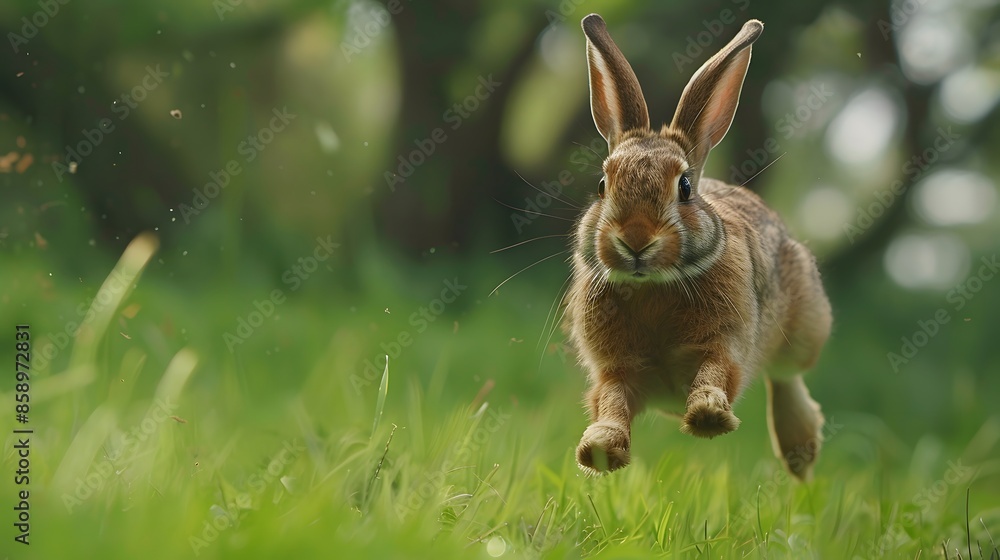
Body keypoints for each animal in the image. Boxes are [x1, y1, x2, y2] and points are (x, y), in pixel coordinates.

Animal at [564, 14, 832, 480]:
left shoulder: (725, 343)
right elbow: (612, 400)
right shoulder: (615, 368)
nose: (635, 239)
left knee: (785, 374)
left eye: (685, 187)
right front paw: (599, 448)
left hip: (803, 327)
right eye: (602, 185)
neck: (653, 285)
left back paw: (799, 451)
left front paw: (708, 416)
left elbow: (715, 371)